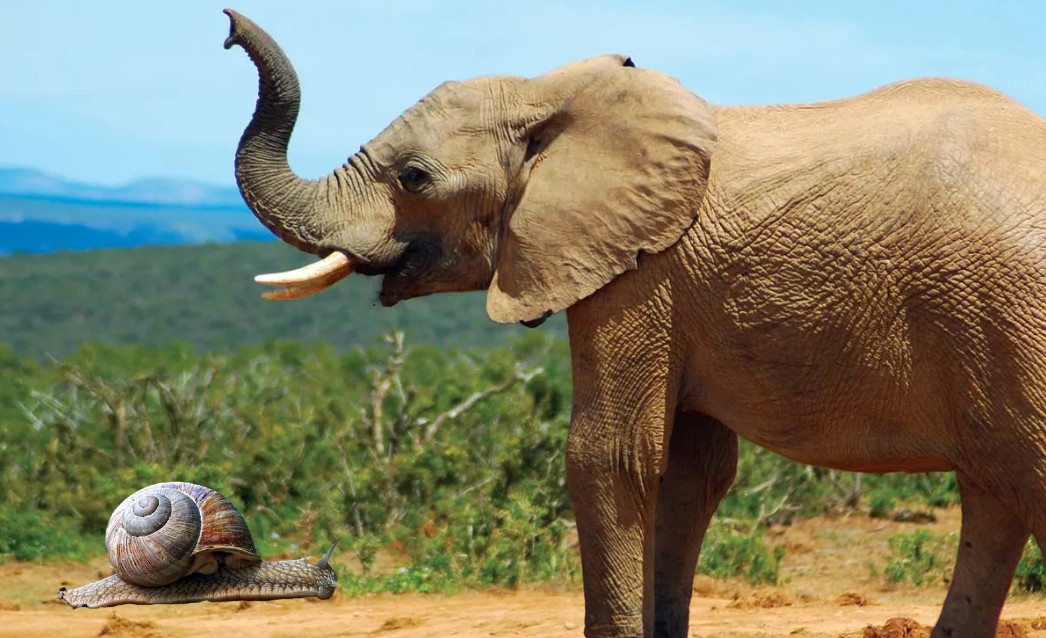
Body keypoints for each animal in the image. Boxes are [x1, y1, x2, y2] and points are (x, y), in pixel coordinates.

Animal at [222, 9, 1046, 635]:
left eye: (414, 179)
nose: (227, 29)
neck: (552, 93)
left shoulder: (642, 272)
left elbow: (610, 457)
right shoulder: (676, 286)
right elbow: (690, 471)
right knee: (995, 492)